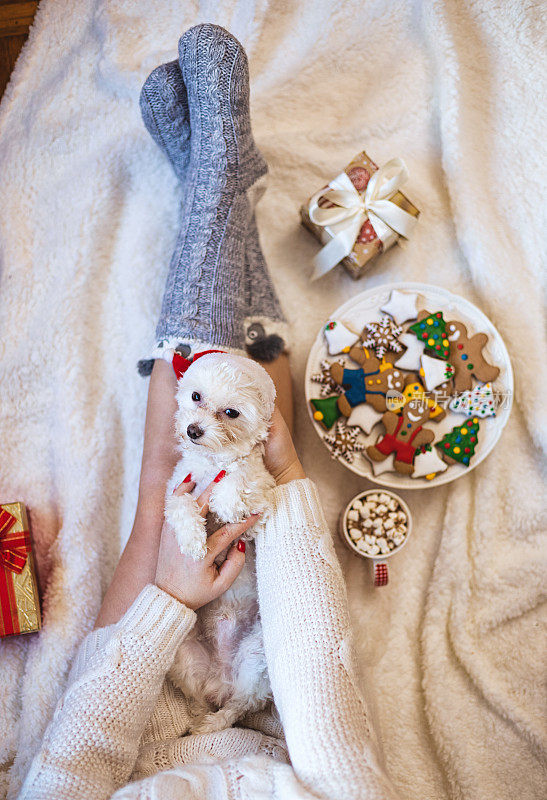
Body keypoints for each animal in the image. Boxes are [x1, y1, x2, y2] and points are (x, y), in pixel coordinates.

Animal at [166, 354, 278, 736]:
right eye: (195, 396)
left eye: (231, 412)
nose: (193, 430)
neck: (212, 461)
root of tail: (221, 679)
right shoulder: (178, 486)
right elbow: (181, 506)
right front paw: (193, 541)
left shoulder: (262, 498)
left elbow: (239, 482)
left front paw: (225, 504)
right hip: (184, 653)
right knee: (199, 698)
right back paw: (199, 723)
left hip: (256, 656)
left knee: (238, 706)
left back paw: (212, 724)